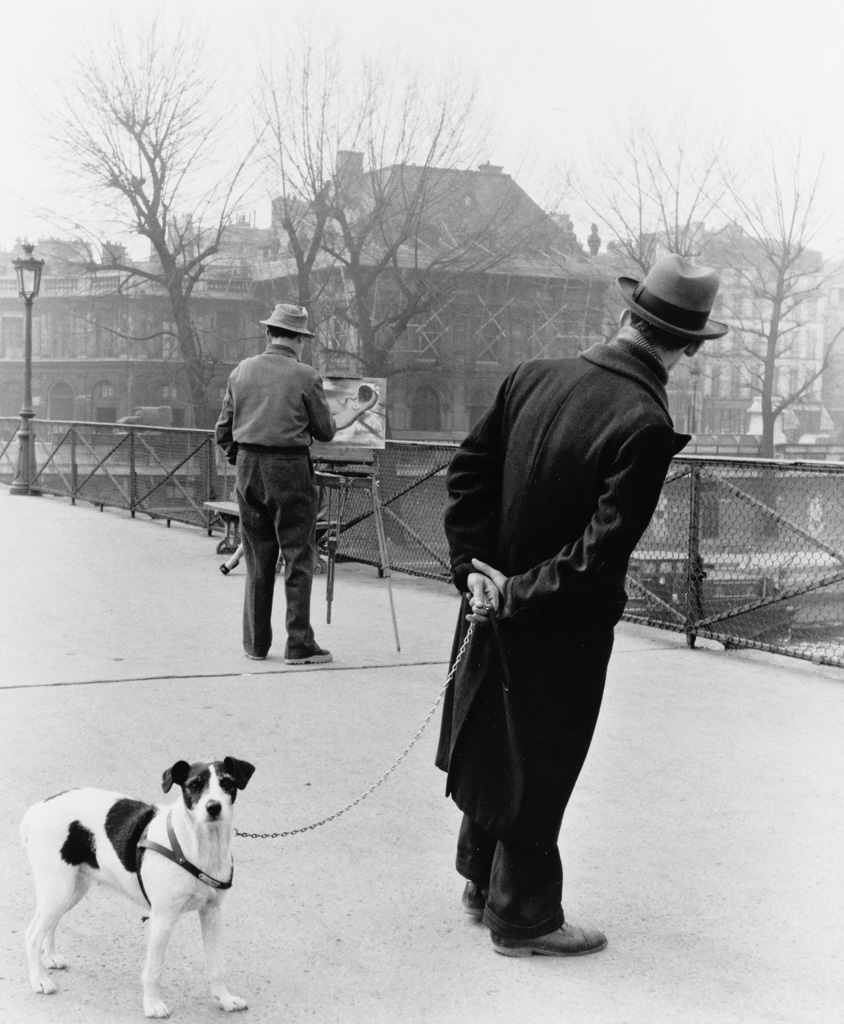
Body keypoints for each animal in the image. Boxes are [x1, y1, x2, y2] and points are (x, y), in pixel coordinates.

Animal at [19, 757, 255, 1019]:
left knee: (48, 924)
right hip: (58, 889)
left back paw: (50, 957)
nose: (213, 808)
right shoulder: (162, 918)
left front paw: (224, 1000)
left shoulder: (212, 914)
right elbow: (154, 970)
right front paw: (152, 1005)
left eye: (227, 783)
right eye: (194, 785)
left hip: (70, 890)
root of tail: (38, 808)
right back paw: (39, 980)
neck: (198, 848)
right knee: (32, 935)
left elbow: (216, 967)